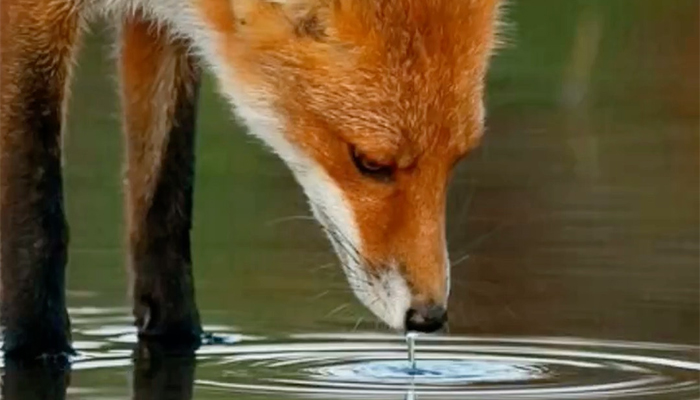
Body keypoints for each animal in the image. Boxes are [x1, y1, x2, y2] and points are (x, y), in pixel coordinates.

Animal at [0, 0, 504, 360]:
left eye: (458, 158)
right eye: (369, 162)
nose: (429, 317)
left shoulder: (159, 26)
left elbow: (163, 215)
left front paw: (180, 336)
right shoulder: (32, 18)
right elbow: (37, 227)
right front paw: (39, 348)